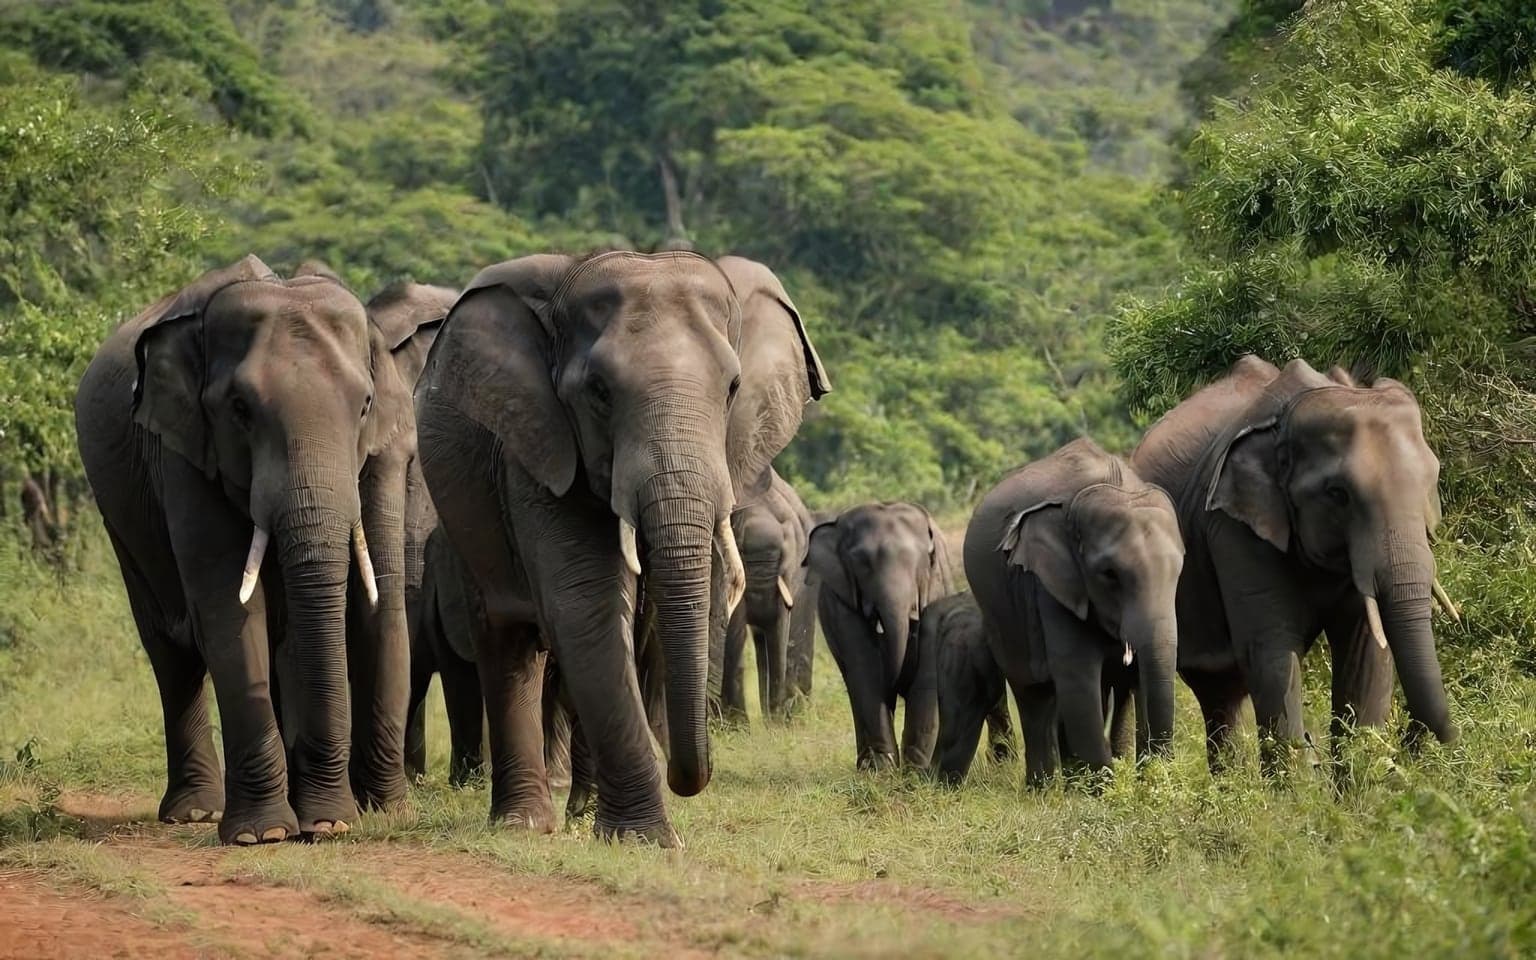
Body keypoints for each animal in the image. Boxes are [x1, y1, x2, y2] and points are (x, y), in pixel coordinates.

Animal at [75, 256, 436, 844]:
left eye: (363, 406)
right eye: (240, 409)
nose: (327, 824)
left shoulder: (386, 451)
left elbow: (378, 608)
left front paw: (364, 817)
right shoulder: (185, 450)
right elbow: (229, 610)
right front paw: (263, 835)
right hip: (119, 515)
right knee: (170, 651)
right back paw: (194, 813)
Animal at [805, 501, 953, 771]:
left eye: (920, 564)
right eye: (862, 565)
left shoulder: (937, 588)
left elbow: (927, 667)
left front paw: (917, 770)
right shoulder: (841, 602)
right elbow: (865, 664)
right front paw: (881, 770)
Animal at [964, 438, 1184, 786]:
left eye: (1178, 571)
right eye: (1109, 574)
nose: (1160, 773)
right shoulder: (1050, 585)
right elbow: (1077, 675)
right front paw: (1103, 788)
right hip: (1000, 615)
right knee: (1034, 693)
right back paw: (1043, 787)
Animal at [1130, 356, 1457, 773]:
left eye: (1433, 478)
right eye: (1338, 494)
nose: (1410, 745)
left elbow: (1366, 650)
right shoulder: (1233, 526)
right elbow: (1271, 651)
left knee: (1221, 694)